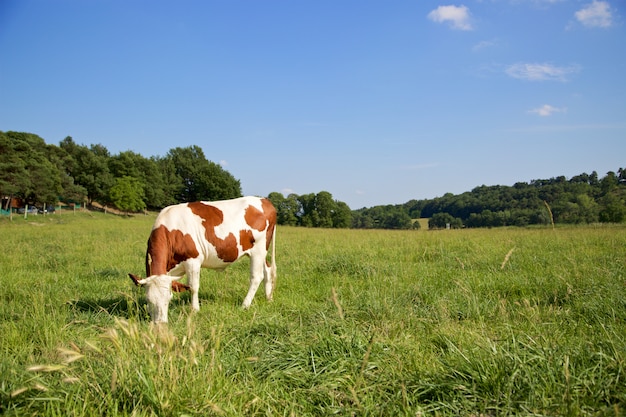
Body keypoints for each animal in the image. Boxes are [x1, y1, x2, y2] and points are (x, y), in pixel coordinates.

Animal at [129, 195, 276, 322]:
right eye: (148, 300)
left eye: (169, 299)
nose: (160, 324)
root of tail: (264, 200)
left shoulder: (193, 260)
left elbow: (193, 286)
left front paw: (194, 310)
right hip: (262, 251)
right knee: (267, 271)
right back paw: (268, 298)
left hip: (258, 249)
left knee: (256, 277)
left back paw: (245, 305)